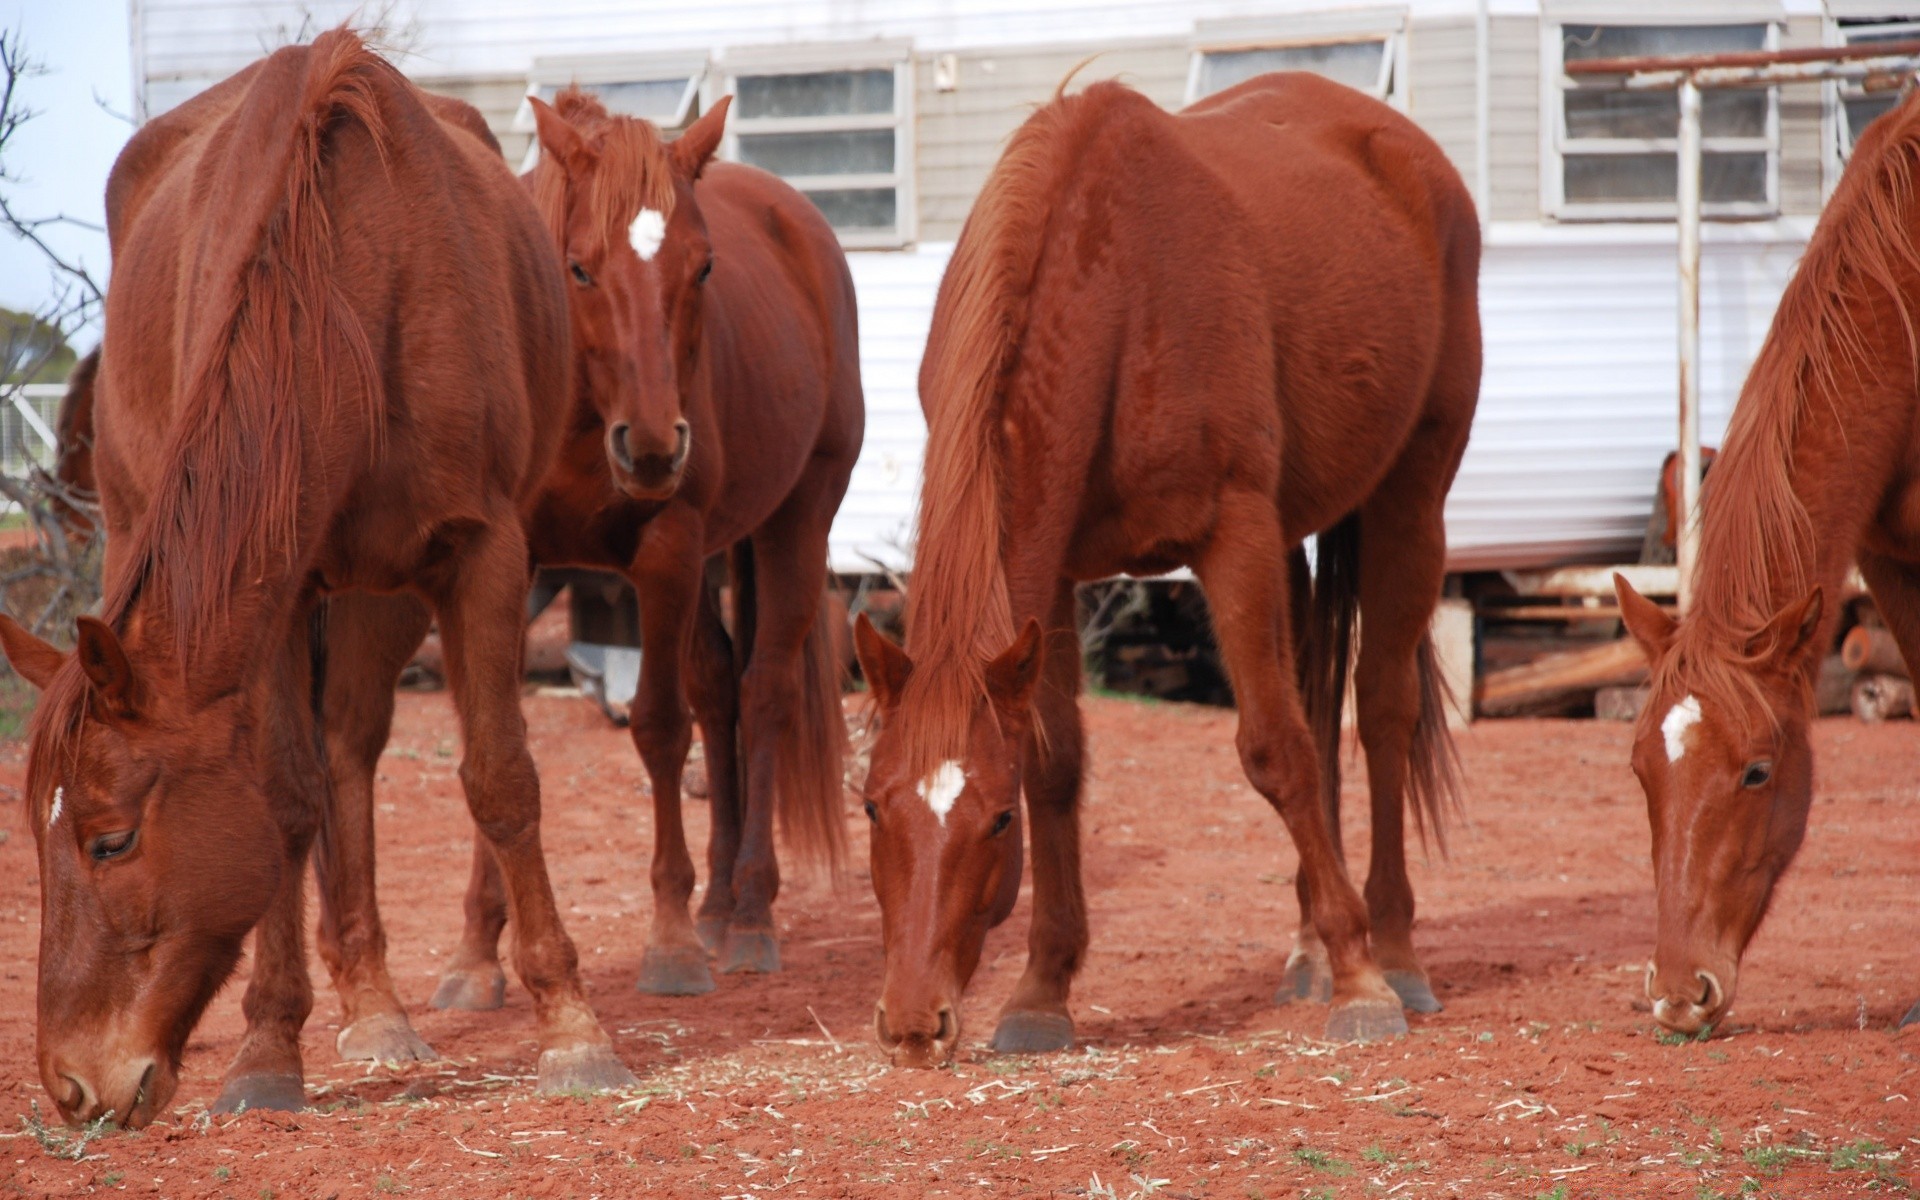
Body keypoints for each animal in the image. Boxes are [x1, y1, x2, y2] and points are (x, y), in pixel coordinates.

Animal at [0, 32, 633, 1128]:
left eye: (109, 841)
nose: (71, 1086)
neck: (350, 296)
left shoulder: (483, 552)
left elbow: (501, 781)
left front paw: (573, 1027)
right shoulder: (277, 591)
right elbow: (288, 806)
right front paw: (267, 1047)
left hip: (384, 591)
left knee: (353, 749)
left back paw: (376, 1004)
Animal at [848, 72, 1474, 1067]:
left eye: (994, 820)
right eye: (872, 807)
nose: (913, 1024)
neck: (1115, 294)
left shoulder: (1235, 537)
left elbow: (1276, 750)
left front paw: (1362, 979)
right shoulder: (1054, 577)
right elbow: (1060, 763)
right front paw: (1041, 992)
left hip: (1410, 496)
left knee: (1378, 712)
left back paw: (1393, 950)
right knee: (1321, 697)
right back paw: (1308, 949)